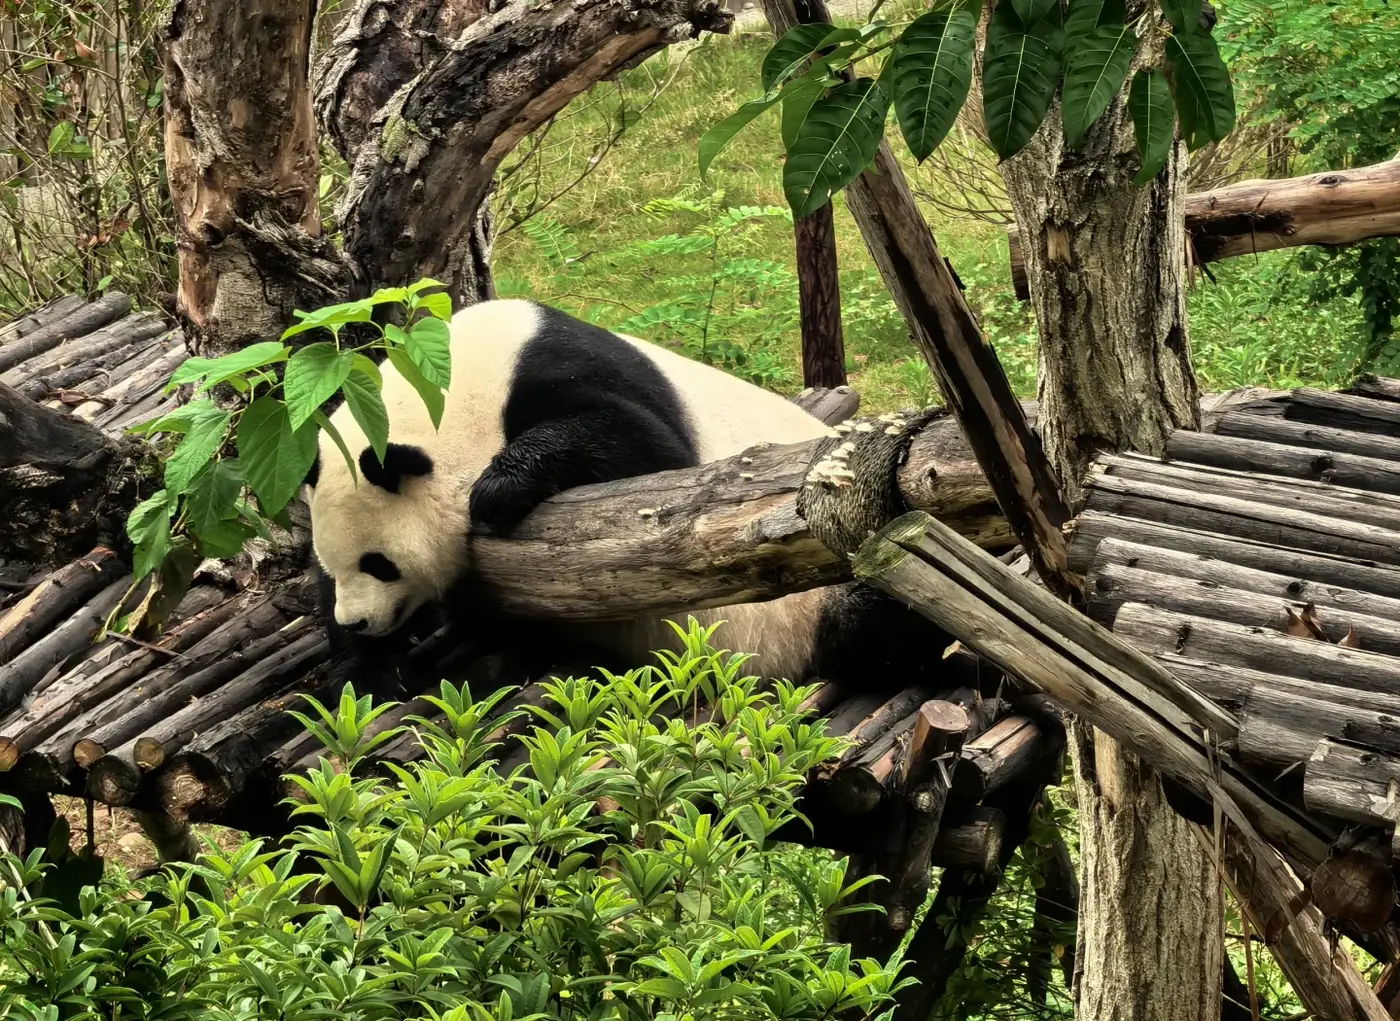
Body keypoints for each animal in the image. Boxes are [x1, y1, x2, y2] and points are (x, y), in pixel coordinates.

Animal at [303, 298, 963, 698]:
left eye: (379, 564)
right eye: (336, 569)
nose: (357, 620)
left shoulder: (565, 375)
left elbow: (644, 448)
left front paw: (495, 492)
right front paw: (363, 669)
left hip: (827, 585)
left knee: (874, 618)